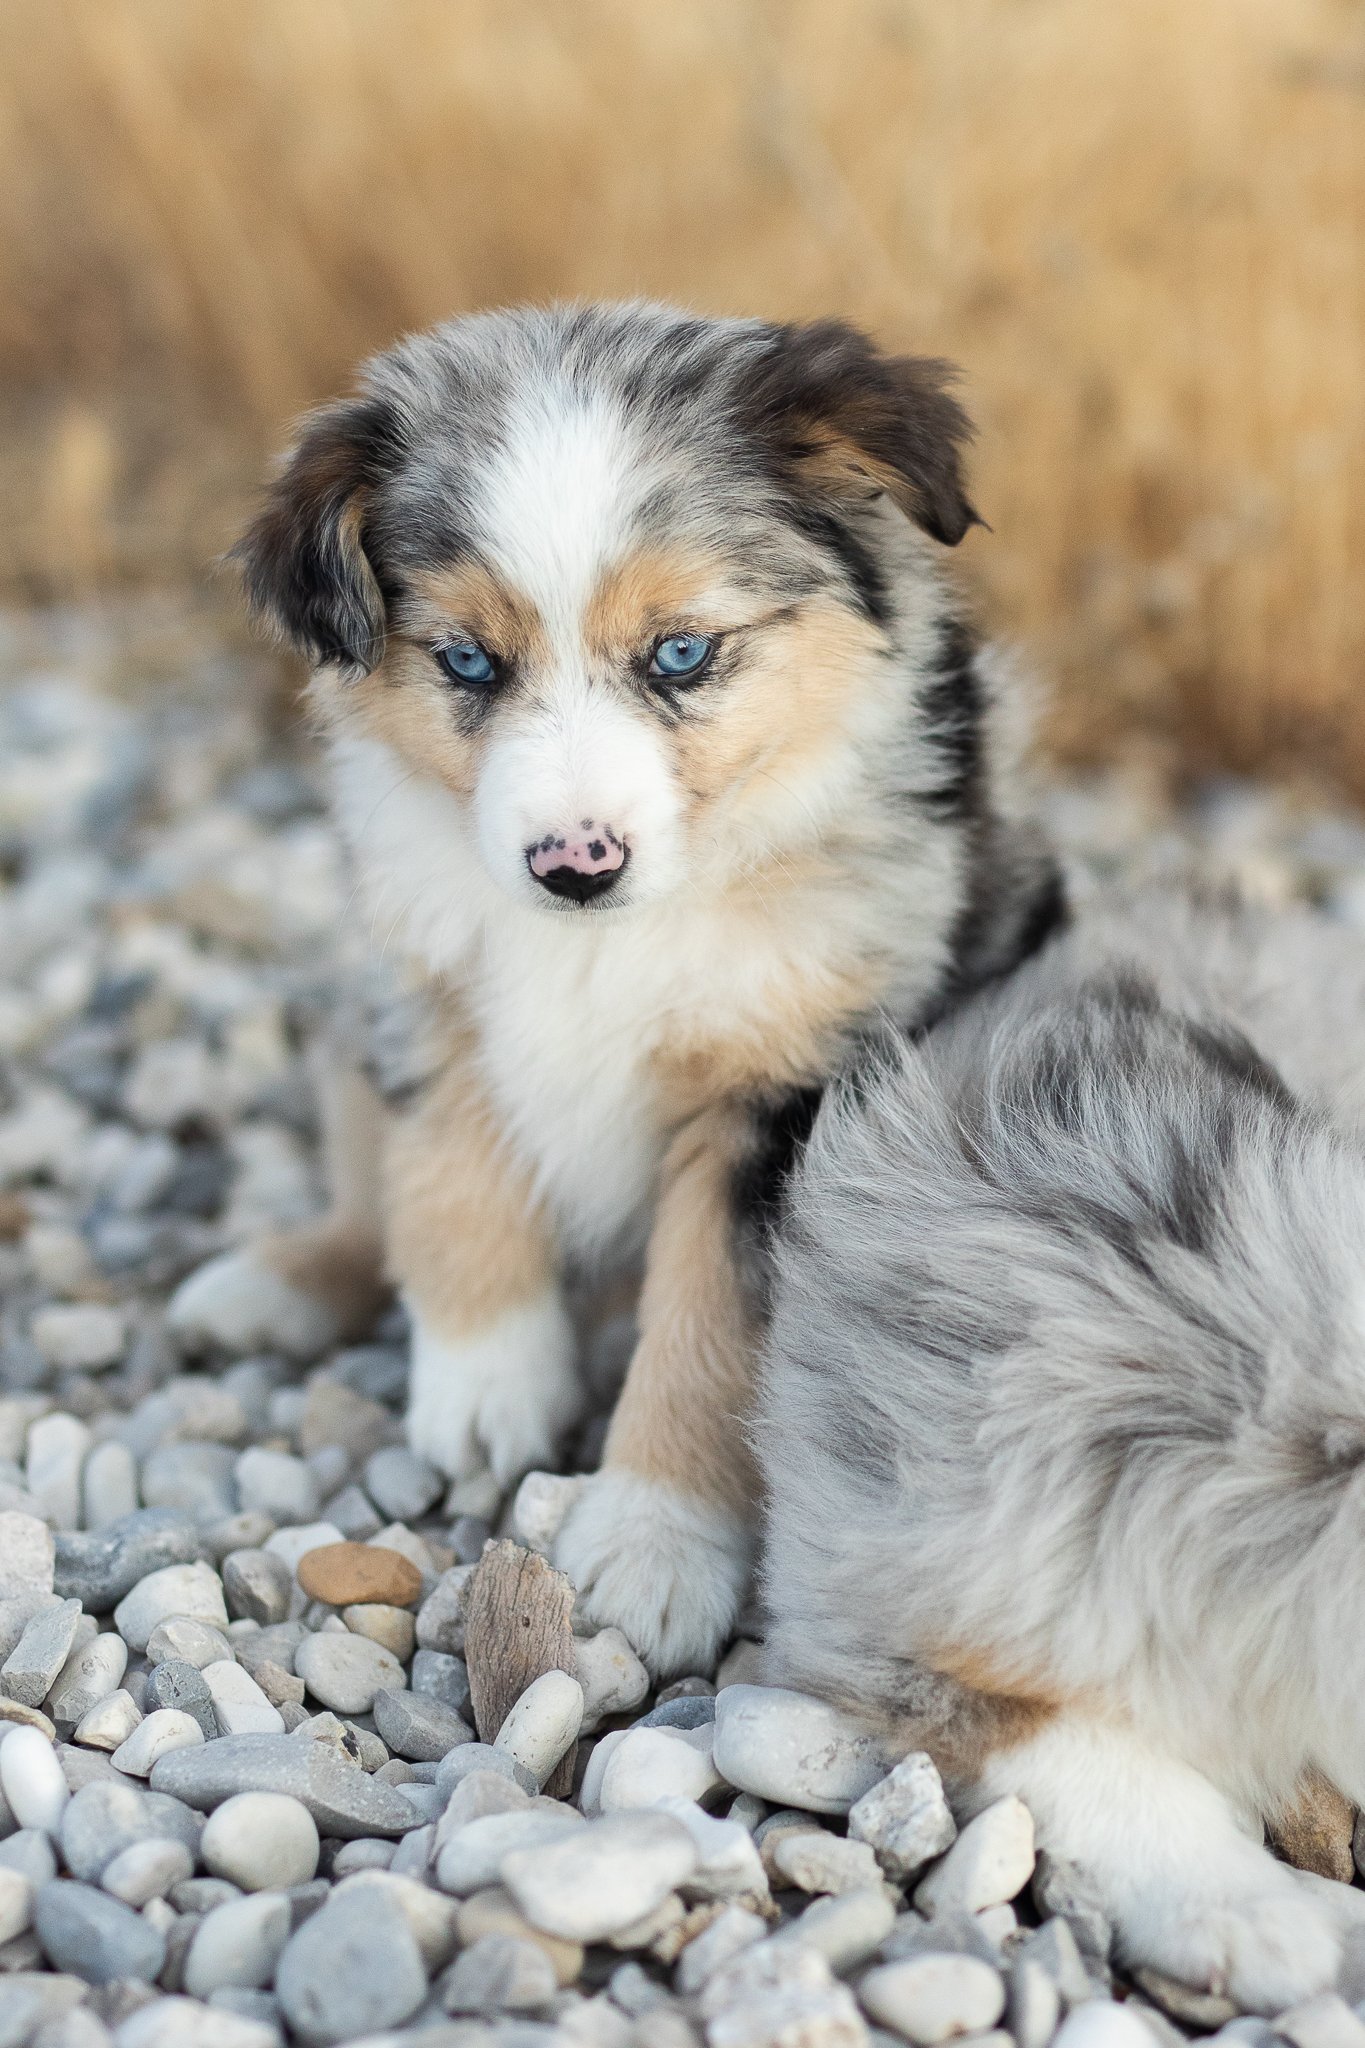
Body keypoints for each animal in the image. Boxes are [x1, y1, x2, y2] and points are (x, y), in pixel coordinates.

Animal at [170, 303, 1064, 1679]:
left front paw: (653, 1547)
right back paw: (273, 1279)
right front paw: (484, 1385)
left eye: (682, 651)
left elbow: (706, 1329)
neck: (610, 937)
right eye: (468, 661)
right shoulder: (425, 980)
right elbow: (446, 1180)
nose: (575, 865)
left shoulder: (783, 1087)